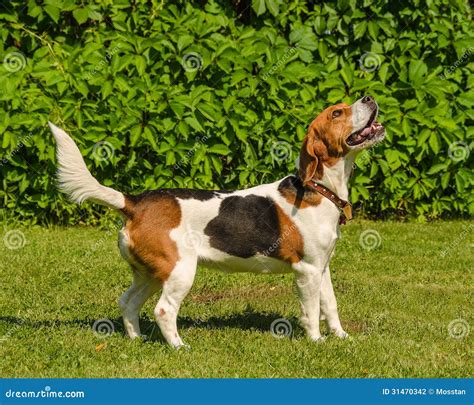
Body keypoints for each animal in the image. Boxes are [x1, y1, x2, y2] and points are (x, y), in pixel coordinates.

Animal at [50, 95, 386, 348]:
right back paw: (179, 346)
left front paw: (341, 336)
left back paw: (136, 339)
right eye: (337, 113)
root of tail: (134, 202)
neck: (320, 188)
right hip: (180, 271)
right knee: (163, 310)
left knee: (128, 302)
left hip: (151, 272)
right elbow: (312, 311)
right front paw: (316, 341)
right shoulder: (307, 271)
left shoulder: (322, 267)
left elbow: (330, 305)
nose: (369, 97)